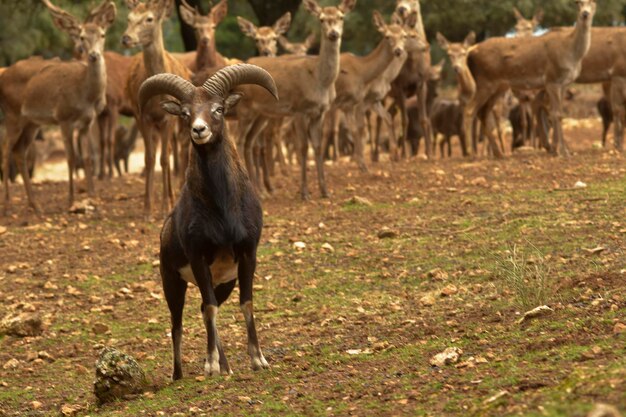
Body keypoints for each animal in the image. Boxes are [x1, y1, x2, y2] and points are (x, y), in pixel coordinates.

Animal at [0, 0, 116, 214]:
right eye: (81, 37)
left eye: (103, 34)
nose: (94, 55)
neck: (86, 94)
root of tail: (3, 75)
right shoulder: (64, 118)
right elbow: (70, 158)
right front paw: (70, 200)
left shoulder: (87, 122)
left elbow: (87, 157)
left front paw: (93, 197)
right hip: (12, 114)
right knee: (5, 149)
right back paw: (8, 203)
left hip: (32, 122)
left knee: (19, 151)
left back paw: (35, 204)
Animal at [120, 0, 190, 216]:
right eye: (129, 18)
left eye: (149, 19)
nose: (126, 38)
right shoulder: (142, 116)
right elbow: (149, 158)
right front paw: (147, 208)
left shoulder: (168, 118)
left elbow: (165, 159)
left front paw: (166, 206)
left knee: (171, 150)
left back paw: (172, 197)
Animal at [139, 63, 278, 378]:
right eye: (185, 112)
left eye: (218, 109)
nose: (199, 130)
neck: (223, 211)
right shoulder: (199, 258)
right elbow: (211, 310)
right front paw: (211, 365)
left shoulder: (247, 256)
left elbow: (245, 304)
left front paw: (257, 360)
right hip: (173, 283)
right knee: (178, 323)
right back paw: (180, 374)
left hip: (222, 283)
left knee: (205, 308)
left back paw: (225, 367)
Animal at [464, 0, 596, 158]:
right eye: (578, 3)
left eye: (593, 3)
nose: (585, 14)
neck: (572, 54)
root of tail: (469, 55)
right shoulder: (552, 79)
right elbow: (556, 114)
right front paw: (562, 151)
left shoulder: (564, 84)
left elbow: (557, 113)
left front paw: (557, 149)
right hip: (484, 82)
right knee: (470, 110)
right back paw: (471, 153)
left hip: (499, 86)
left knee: (483, 112)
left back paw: (498, 153)